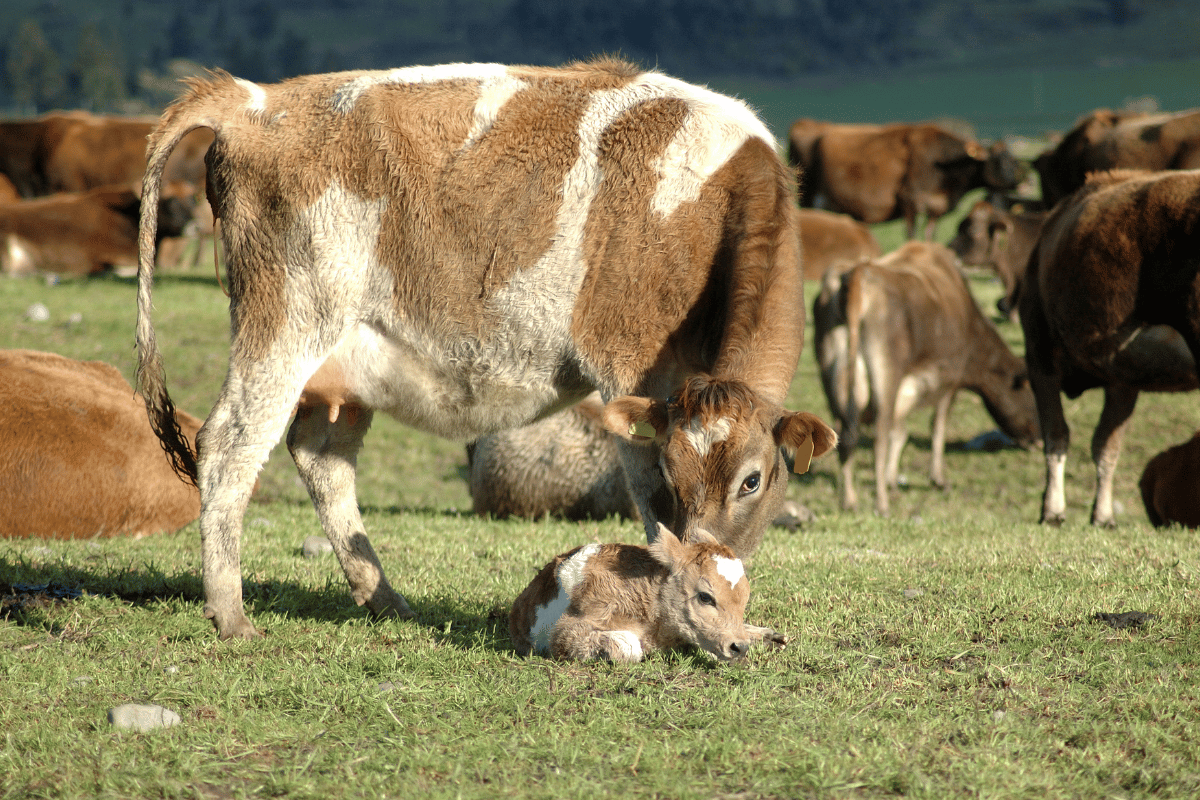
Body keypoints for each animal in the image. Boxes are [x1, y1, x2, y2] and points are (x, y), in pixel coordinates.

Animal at [509, 524, 780, 662]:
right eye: (705, 597)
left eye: (744, 599)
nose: (739, 647)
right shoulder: (566, 631)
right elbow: (629, 646)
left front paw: (767, 636)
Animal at [786, 119, 1023, 240]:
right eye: (1000, 162)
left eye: (1014, 160)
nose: (1022, 181)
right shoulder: (909, 199)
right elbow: (911, 234)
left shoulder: (935, 206)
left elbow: (930, 235)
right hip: (809, 197)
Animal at [813, 241, 1039, 514]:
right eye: (1034, 397)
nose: (1039, 439)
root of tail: (858, 272)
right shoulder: (949, 379)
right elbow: (937, 426)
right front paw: (937, 479)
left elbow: (901, 432)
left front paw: (892, 478)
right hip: (886, 375)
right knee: (878, 436)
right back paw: (881, 503)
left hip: (833, 374)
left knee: (844, 435)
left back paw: (849, 500)